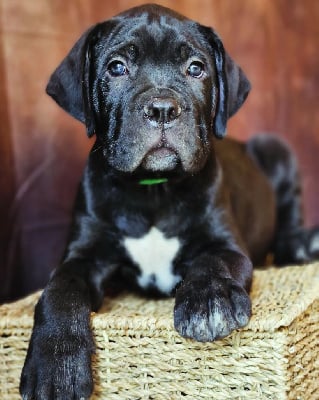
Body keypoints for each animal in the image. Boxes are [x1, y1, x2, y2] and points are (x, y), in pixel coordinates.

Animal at [20, 3, 319, 400]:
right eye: (117, 67)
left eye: (196, 68)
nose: (162, 108)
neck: (153, 190)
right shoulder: (82, 257)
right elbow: (59, 289)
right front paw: (56, 363)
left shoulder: (225, 245)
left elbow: (211, 261)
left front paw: (209, 301)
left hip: (275, 147)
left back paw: (302, 243)